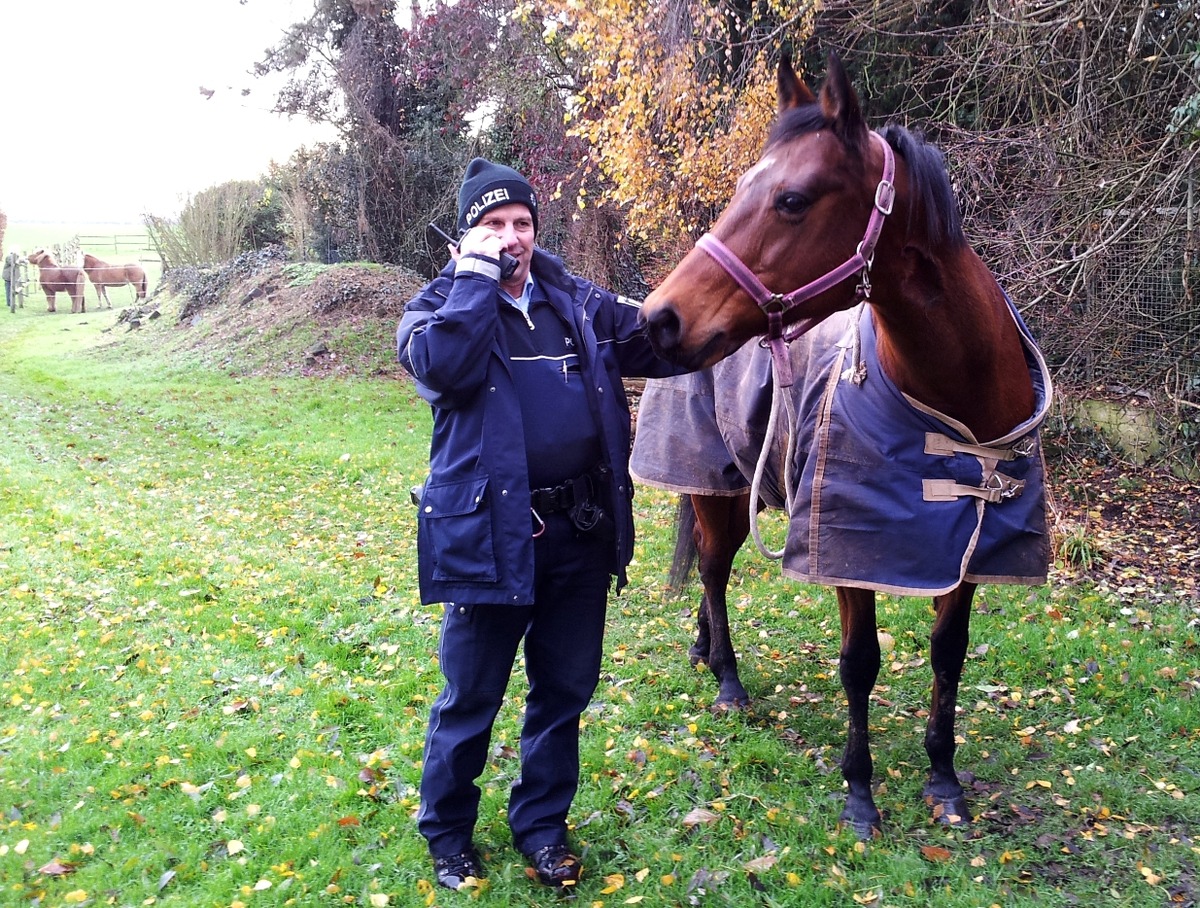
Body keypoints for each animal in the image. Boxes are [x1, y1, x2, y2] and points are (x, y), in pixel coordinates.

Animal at [638, 53, 1051, 839]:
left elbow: (948, 657)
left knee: (710, 574)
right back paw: (728, 680)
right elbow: (860, 662)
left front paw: (944, 779)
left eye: (792, 200)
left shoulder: (968, 555)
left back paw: (704, 651)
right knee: (712, 570)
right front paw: (860, 792)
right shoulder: (849, 553)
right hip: (714, 492)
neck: (959, 406)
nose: (659, 320)